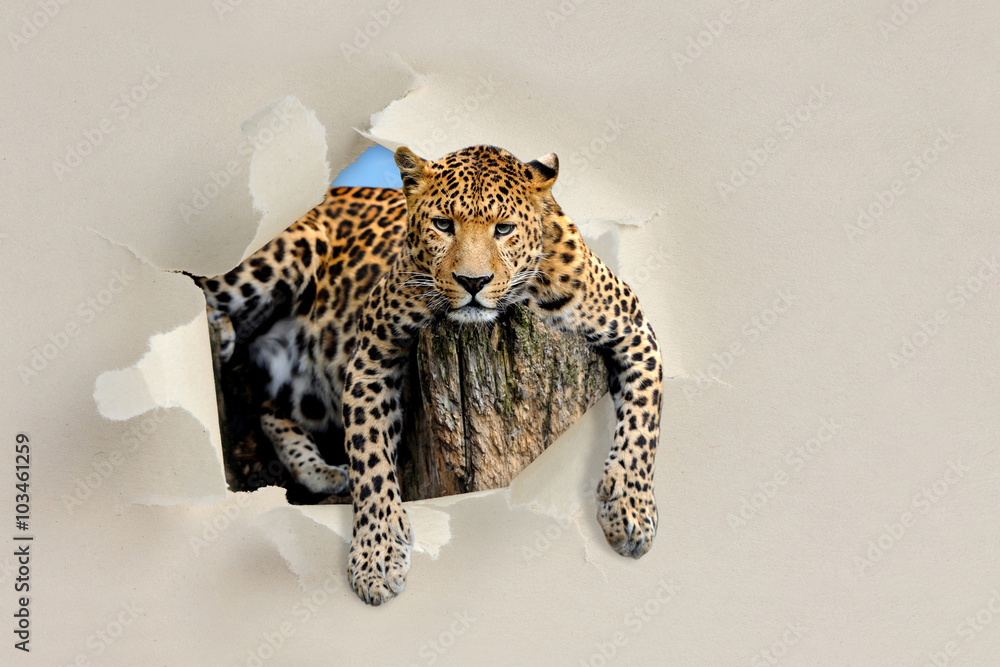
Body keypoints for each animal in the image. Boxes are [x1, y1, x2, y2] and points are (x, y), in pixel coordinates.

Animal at [192, 144, 664, 606]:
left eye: (504, 229)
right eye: (442, 224)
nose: (473, 281)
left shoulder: (635, 331)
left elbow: (643, 426)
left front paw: (630, 513)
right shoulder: (373, 352)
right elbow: (370, 457)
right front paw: (377, 557)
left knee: (269, 408)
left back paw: (320, 470)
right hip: (292, 246)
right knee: (204, 290)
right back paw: (218, 332)